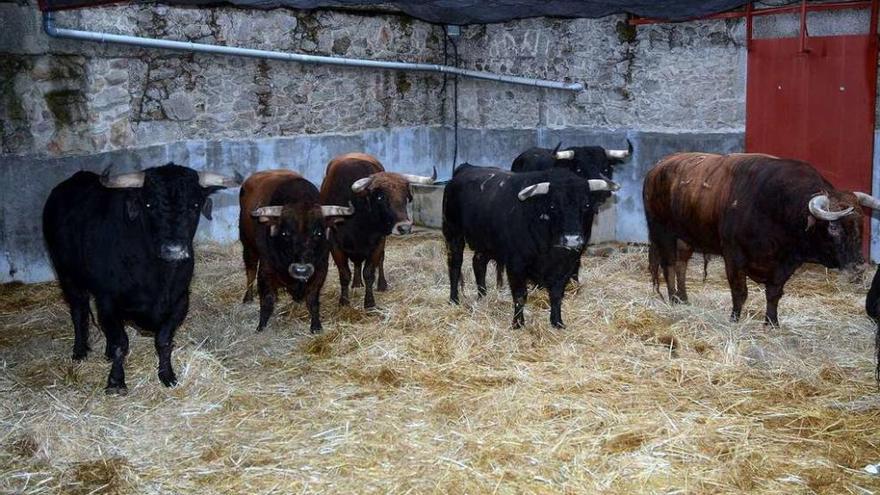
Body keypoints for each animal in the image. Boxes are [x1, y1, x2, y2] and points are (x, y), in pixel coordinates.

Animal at [43, 164, 239, 396]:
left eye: (195, 204)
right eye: (149, 204)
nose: (174, 250)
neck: (158, 278)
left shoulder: (180, 301)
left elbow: (163, 341)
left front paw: (167, 375)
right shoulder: (108, 300)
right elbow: (121, 343)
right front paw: (116, 382)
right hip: (68, 277)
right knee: (78, 311)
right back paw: (80, 351)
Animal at [241, 170, 354, 334]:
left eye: (318, 233)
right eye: (285, 233)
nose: (301, 270)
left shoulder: (321, 268)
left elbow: (312, 300)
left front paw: (316, 326)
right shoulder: (265, 269)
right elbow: (267, 299)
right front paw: (261, 326)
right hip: (247, 245)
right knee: (250, 270)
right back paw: (248, 297)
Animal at [320, 154, 436, 310]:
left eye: (406, 197)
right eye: (380, 197)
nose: (404, 227)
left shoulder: (378, 242)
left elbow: (369, 273)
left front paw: (369, 303)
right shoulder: (334, 243)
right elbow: (344, 274)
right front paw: (344, 301)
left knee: (380, 260)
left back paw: (381, 284)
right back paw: (356, 283)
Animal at [640, 153, 880, 328]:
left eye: (861, 224)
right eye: (833, 227)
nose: (858, 267)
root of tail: (657, 168)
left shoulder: (784, 265)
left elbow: (774, 294)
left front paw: (771, 323)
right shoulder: (733, 256)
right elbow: (739, 291)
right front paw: (735, 319)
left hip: (685, 238)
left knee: (681, 264)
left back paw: (684, 298)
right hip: (663, 232)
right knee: (669, 265)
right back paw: (673, 299)